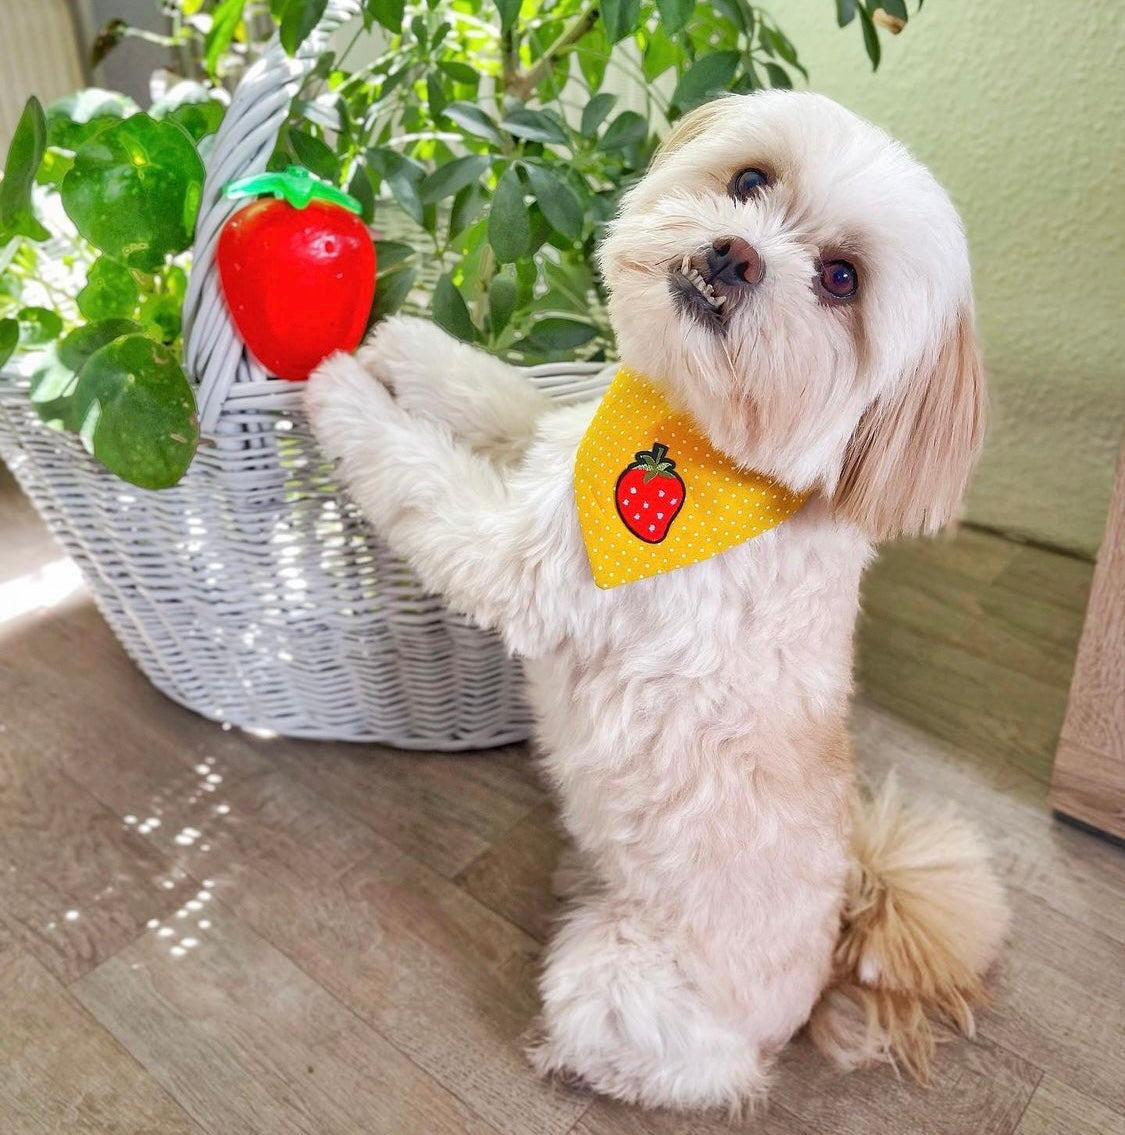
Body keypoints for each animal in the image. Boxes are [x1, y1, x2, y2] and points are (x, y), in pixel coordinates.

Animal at [308, 90, 1012, 1116]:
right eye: (750, 180)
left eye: (841, 279)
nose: (735, 253)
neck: (693, 441)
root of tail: (828, 967)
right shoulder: (553, 444)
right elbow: (495, 393)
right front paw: (409, 344)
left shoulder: (512, 559)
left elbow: (412, 469)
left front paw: (343, 390)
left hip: (618, 982)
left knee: (674, 1069)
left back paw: (568, 1056)